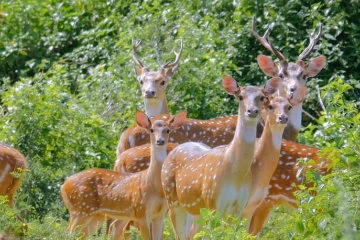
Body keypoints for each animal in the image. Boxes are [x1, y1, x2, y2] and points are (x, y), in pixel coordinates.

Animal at [60, 110, 187, 238]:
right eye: (151, 129)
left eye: (167, 130)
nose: (160, 141)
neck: (154, 186)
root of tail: (64, 186)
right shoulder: (140, 211)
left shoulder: (159, 214)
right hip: (80, 210)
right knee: (68, 233)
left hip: (95, 216)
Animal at [161, 75, 270, 240]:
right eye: (240, 96)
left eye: (262, 97)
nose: (252, 111)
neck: (235, 175)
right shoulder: (213, 203)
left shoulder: (239, 207)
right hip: (172, 199)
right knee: (179, 234)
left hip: (196, 210)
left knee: (191, 234)